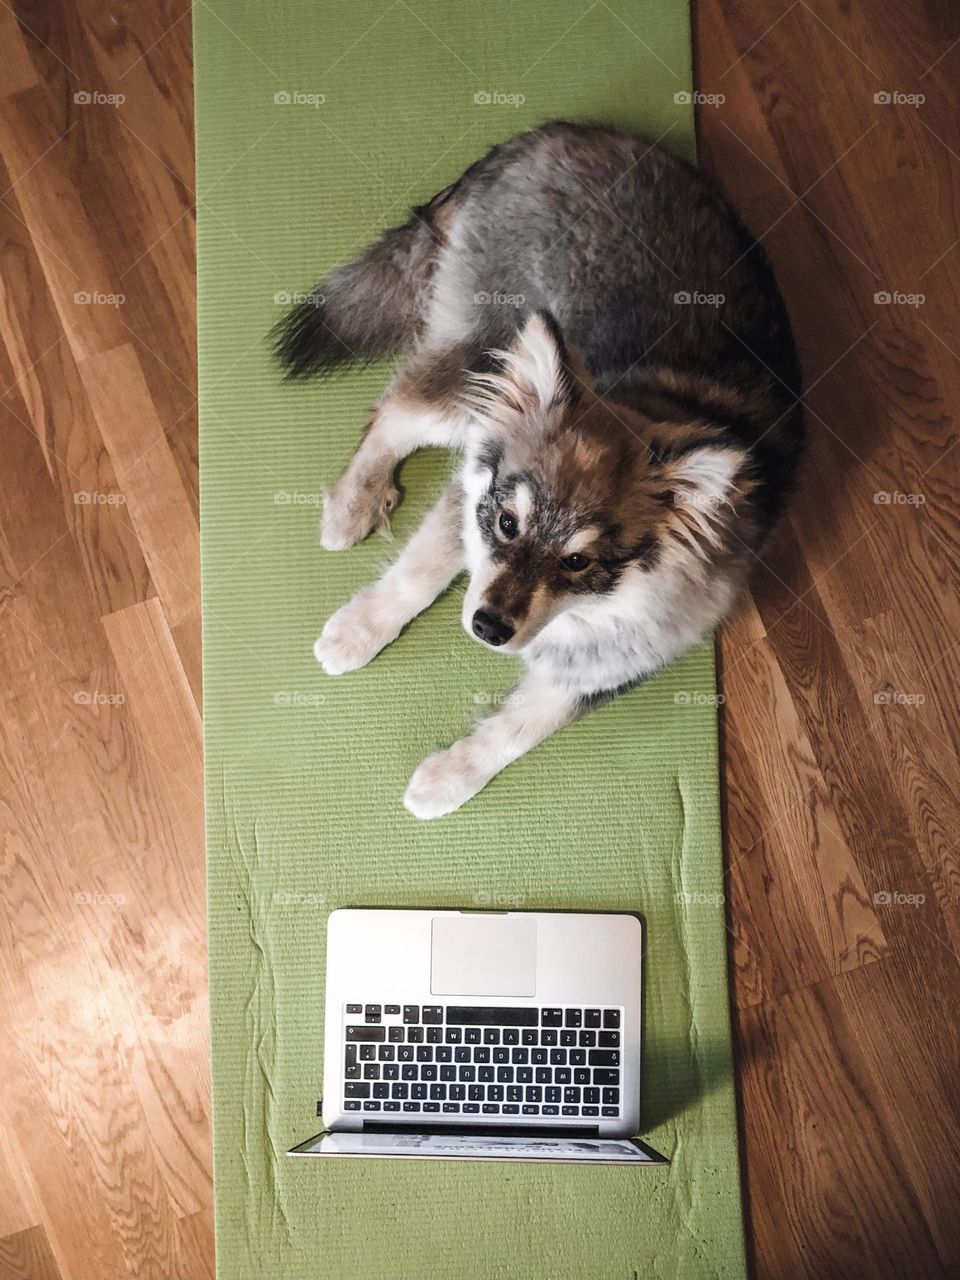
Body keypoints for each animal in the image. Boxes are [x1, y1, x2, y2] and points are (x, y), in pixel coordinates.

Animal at [272, 122, 803, 819]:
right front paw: (359, 630)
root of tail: (548, 133)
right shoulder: (473, 482)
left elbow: (518, 729)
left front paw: (447, 781)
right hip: (481, 364)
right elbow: (416, 572)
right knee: (396, 407)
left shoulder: (612, 664)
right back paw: (352, 503)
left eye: (579, 561)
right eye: (506, 522)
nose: (488, 629)